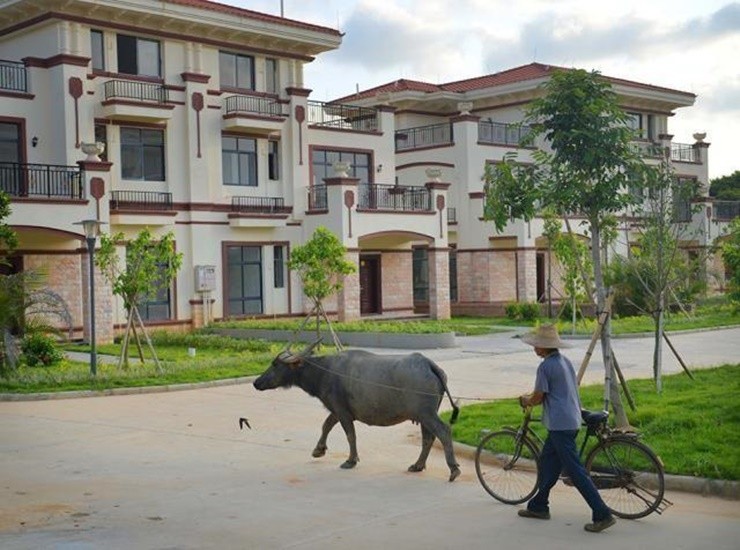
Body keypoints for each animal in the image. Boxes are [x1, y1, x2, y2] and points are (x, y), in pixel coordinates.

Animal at [254, 342, 462, 486]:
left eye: (275, 364)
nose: (256, 382)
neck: (325, 372)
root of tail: (428, 363)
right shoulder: (337, 410)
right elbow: (326, 425)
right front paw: (318, 450)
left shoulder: (343, 412)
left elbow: (350, 435)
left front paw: (350, 460)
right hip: (424, 415)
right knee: (428, 438)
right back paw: (417, 466)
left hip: (426, 413)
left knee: (443, 431)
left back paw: (453, 470)